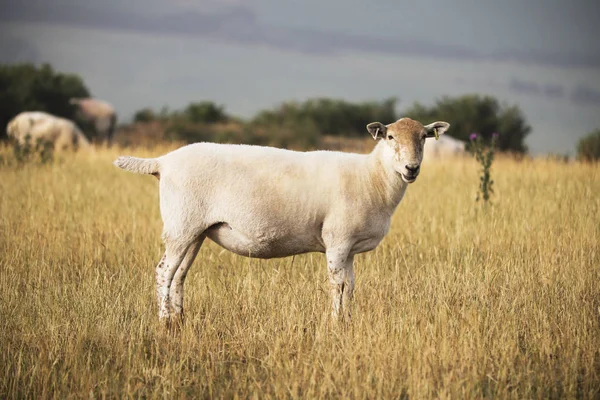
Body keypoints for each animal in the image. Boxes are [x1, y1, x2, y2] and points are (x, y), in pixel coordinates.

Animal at [112, 117, 450, 326]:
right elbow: (337, 284)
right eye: (390, 137)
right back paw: (164, 321)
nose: (411, 168)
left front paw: (348, 321)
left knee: (179, 274)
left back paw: (179, 319)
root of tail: (163, 161)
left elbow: (350, 286)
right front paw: (335, 323)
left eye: (424, 138)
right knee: (163, 272)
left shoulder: (350, 247)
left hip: (194, 230)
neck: (373, 178)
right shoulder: (337, 240)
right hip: (180, 224)